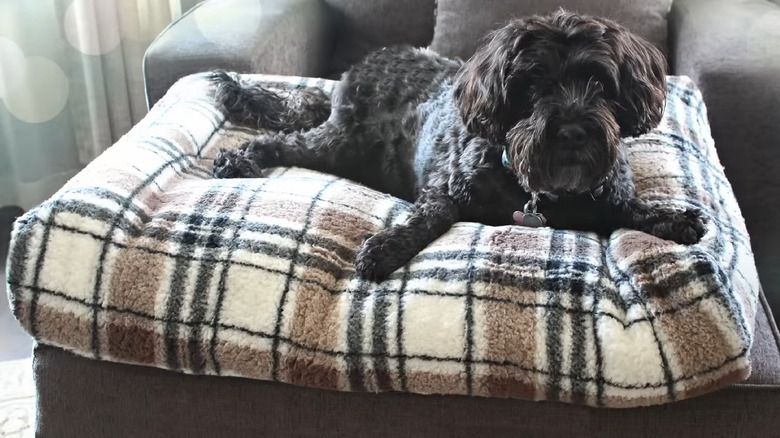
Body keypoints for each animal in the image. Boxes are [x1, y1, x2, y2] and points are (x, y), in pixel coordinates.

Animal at [210, 12, 704, 282]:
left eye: (599, 82)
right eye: (533, 84)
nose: (571, 132)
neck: (547, 192)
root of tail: (357, 68)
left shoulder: (608, 196)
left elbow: (631, 208)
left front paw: (674, 218)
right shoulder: (446, 186)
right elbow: (430, 215)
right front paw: (387, 246)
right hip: (341, 144)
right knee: (281, 141)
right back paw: (240, 158)